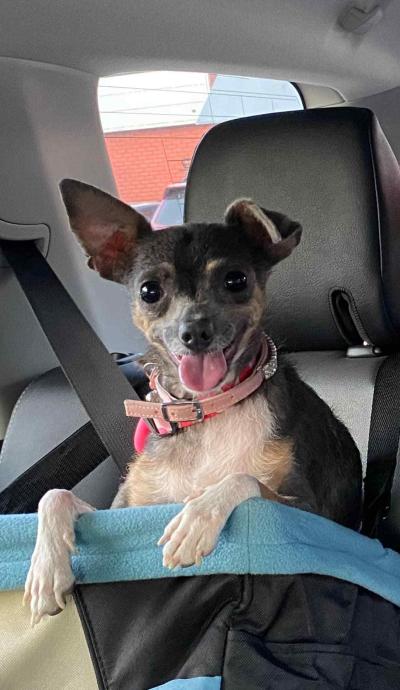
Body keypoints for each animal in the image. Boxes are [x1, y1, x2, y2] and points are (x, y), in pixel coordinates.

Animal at [23, 179, 364, 624]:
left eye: (236, 280)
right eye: (149, 291)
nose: (195, 332)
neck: (205, 411)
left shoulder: (313, 517)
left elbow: (243, 479)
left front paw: (197, 517)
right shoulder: (126, 511)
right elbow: (54, 495)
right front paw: (45, 569)